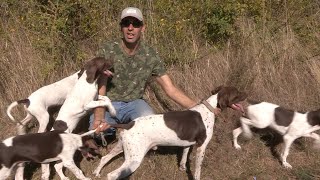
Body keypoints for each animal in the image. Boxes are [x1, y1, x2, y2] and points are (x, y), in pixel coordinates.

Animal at [92, 86, 248, 180]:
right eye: (237, 94)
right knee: (112, 175)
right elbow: (198, 169)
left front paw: (182, 168)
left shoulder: (187, 143)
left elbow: (184, 156)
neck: (209, 109)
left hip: (122, 148)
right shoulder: (201, 147)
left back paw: (96, 172)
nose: (247, 95)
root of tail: (129, 123)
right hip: (134, 158)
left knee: (104, 158)